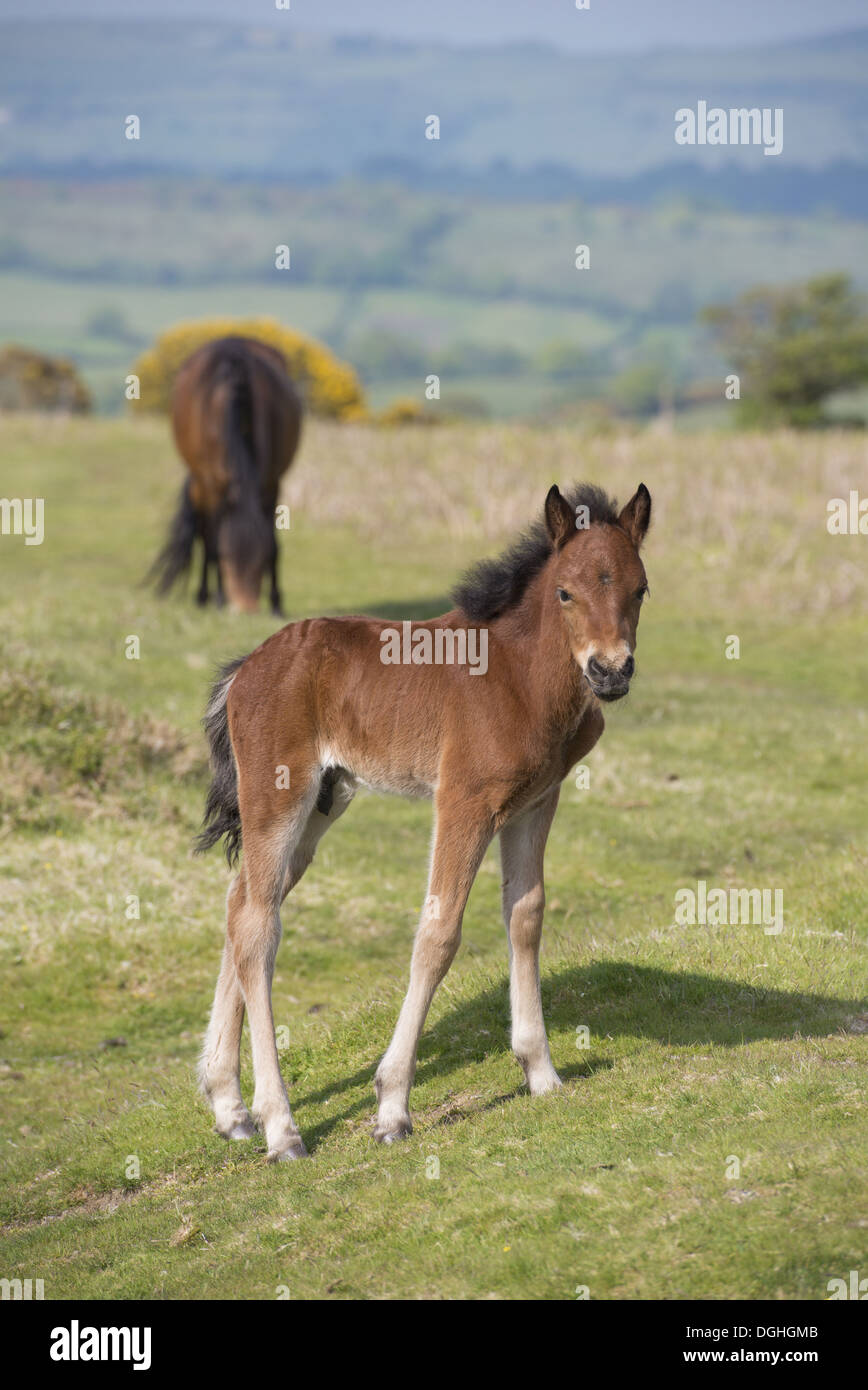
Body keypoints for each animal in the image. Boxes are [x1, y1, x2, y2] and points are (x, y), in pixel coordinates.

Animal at [149, 335, 302, 615]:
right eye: (228, 560)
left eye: (260, 563)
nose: (245, 609)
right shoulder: (212, 485)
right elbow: (212, 544)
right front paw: (218, 597)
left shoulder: (272, 483)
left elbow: (274, 544)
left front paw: (276, 602)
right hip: (200, 484)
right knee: (204, 534)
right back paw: (203, 596)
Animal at [195, 480, 651, 1159]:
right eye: (566, 592)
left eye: (640, 588)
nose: (610, 671)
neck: (520, 676)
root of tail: (245, 668)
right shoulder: (463, 800)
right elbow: (439, 934)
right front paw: (392, 1107)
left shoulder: (536, 802)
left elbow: (526, 915)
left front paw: (541, 1071)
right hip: (278, 795)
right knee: (257, 927)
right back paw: (281, 1127)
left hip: (323, 801)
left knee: (243, 901)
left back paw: (231, 1107)